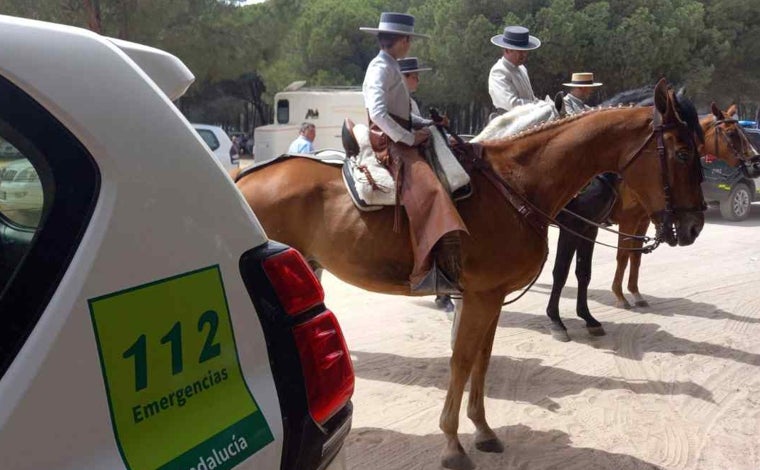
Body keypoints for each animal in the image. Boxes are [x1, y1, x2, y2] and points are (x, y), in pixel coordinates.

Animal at [238, 79, 708, 468]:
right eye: (683, 152)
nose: (694, 226)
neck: (516, 183)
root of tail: (243, 180)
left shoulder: (491, 295)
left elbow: (482, 358)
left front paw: (482, 430)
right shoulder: (481, 295)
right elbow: (462, 360)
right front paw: (451, 443)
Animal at [612, 103, 760, 308]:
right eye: (731, 133)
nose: (756, 163)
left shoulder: (642, 220)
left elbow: (636, 256)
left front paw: (635, 292)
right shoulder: (629, 220)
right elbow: (623, 255)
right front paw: (619, 295)